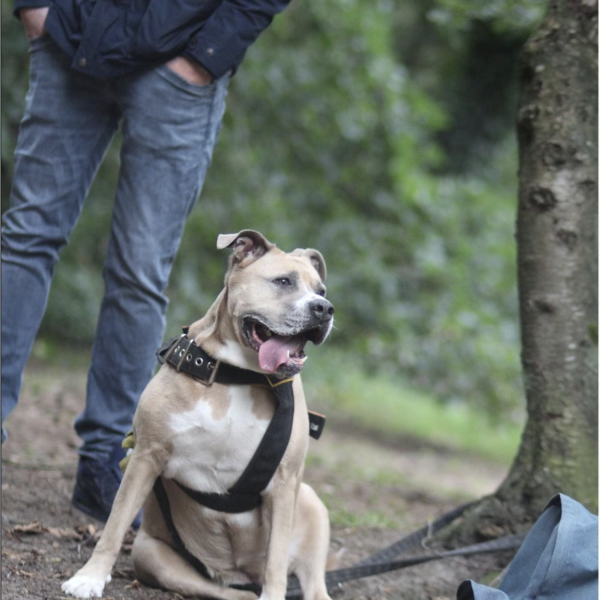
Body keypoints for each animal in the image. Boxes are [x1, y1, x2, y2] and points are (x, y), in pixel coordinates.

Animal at [63, 231, 336, 600]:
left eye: (321, 290)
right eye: (283, 282)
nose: (324, 309)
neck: (239, 375)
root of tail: (238, 573)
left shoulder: (284, 480)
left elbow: (276, 560)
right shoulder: (145, 457)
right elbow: (115, 524)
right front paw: (89, 577)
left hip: (309, 502)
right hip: (153, 555)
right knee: (228, 592)